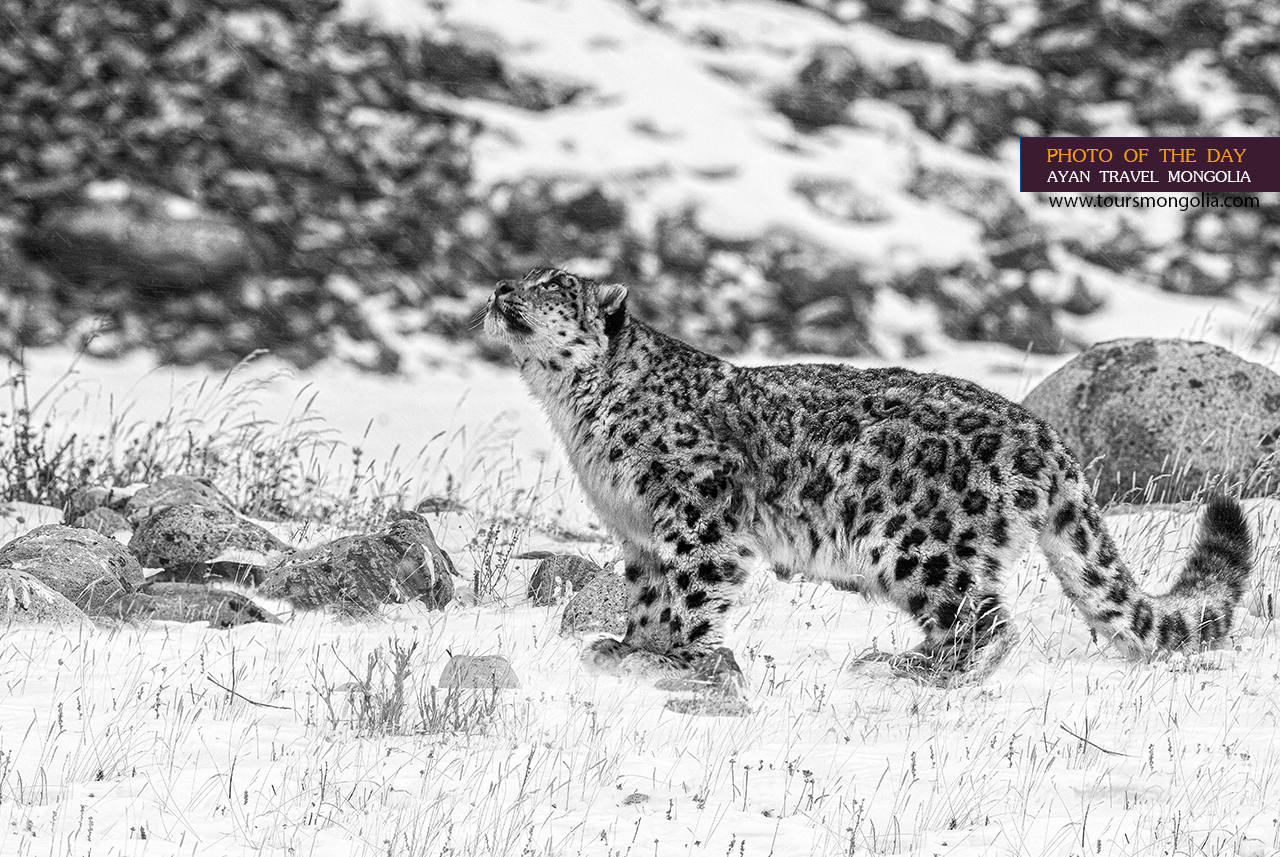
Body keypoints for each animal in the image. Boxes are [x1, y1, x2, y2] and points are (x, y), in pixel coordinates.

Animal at [484, 267, 1254, 688]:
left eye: (557, 285)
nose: (498, 288)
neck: (574, 411)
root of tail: (1043, 436)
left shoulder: (700, 519)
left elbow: (694, 596)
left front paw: (677, 659)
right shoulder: (640, 532)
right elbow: (648, 597)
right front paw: (631, 648)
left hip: (921, 546)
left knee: (985, 623)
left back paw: (903, 668)